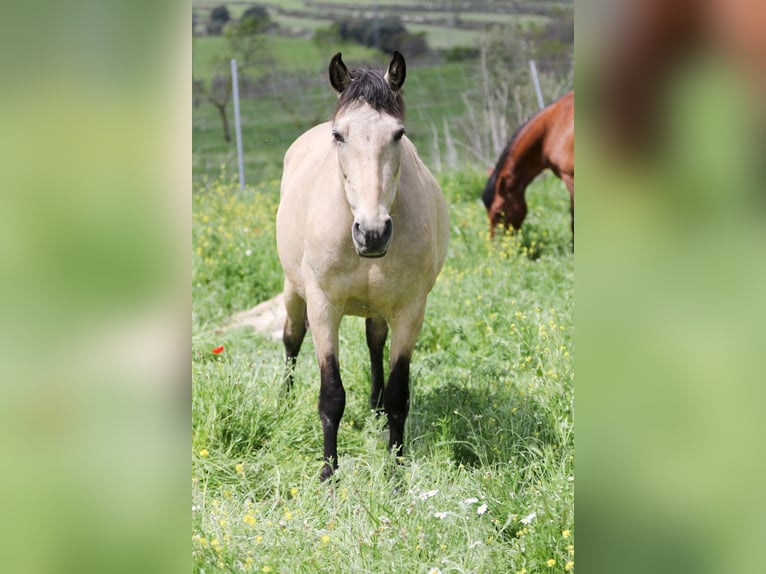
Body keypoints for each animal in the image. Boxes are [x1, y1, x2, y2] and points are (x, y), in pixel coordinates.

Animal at [276, 51, 450, 482]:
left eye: (398, 134)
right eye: (340, 135)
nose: (372, 233)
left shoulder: (410, 311)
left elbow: (399, 395)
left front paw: (397, 470)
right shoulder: (324, 307)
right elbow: (331, 395)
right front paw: (328, 474)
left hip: (379, 309)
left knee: (375, 343)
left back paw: (374, 410)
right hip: (293, 290)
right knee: (291, 338)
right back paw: (283, 401)